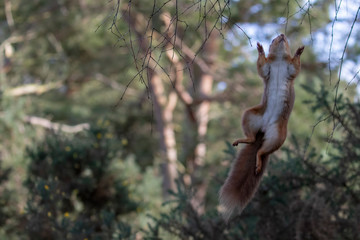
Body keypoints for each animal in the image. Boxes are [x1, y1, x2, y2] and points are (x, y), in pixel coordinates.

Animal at [219, 34, 304, 221]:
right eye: (274, 39)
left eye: (286, 40)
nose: (282, 35)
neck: (279, 60)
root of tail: (263, 131)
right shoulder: (267, 69)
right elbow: (261, 67)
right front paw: (260, 49)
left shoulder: (290, 69)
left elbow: (295, 67)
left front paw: (299, 51)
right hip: (251, 116)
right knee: (252, 140)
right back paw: (245, 141)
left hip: (277, 135)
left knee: (262, 151)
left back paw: (258, 158)